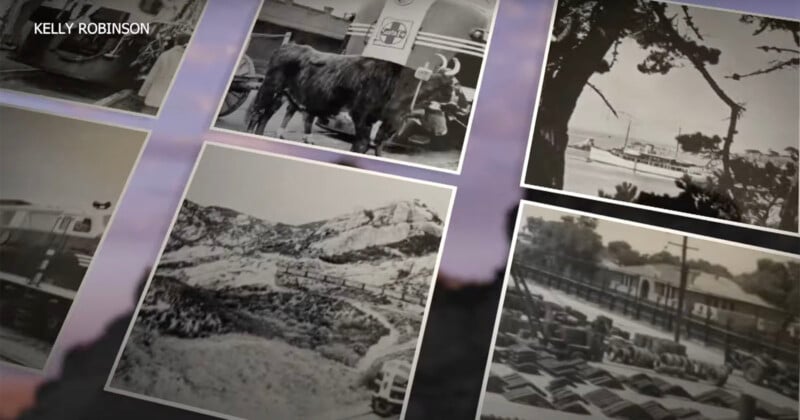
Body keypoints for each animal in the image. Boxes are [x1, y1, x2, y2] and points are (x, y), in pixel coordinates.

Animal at [245, 42, 462, 153]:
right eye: (452, 84)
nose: (458, 102)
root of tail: (289, 46)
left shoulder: (387, 122)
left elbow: (378, 146)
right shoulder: (361, 115)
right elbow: (361, 144)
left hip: (283, 96)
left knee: (266, 115)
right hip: (270, 88)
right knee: (256, 113)